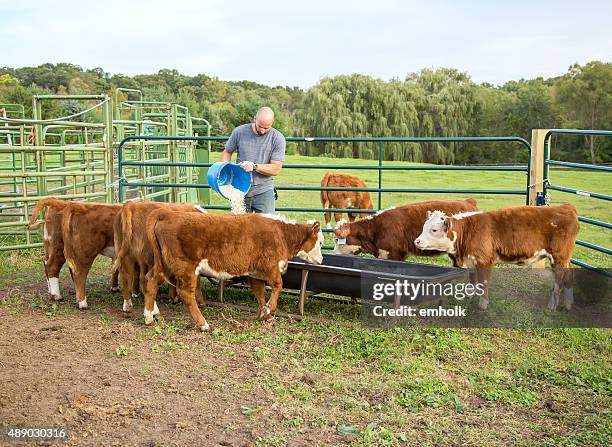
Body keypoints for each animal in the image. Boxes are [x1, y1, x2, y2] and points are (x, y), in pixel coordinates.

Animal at [144, 212, 326, 330]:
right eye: (321, 242)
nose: (322, 260)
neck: (281, 234)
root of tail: (166, 215)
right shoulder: (270, 266)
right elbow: (278, 285)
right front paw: (269, 310)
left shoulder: (255, 272)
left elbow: (260, 293)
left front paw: (265, 315)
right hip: (185, 267)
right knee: (185, 293)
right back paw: (203, 324)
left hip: (164, 265)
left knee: (150, 281)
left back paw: (149, 316)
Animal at [412, 205, 580, 310]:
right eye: (424, 227)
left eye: (434, 230)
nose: (417, 241)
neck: (468, 230)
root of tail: (566, 207)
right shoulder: (471, 260)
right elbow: (472, 280)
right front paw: (469, 295)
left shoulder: (484, 260)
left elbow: (484, 282)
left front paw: (483, 304)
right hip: (565, 258)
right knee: (570, 272)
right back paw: (569, 302)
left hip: (559, 256)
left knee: (559, 279)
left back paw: (553, 304)